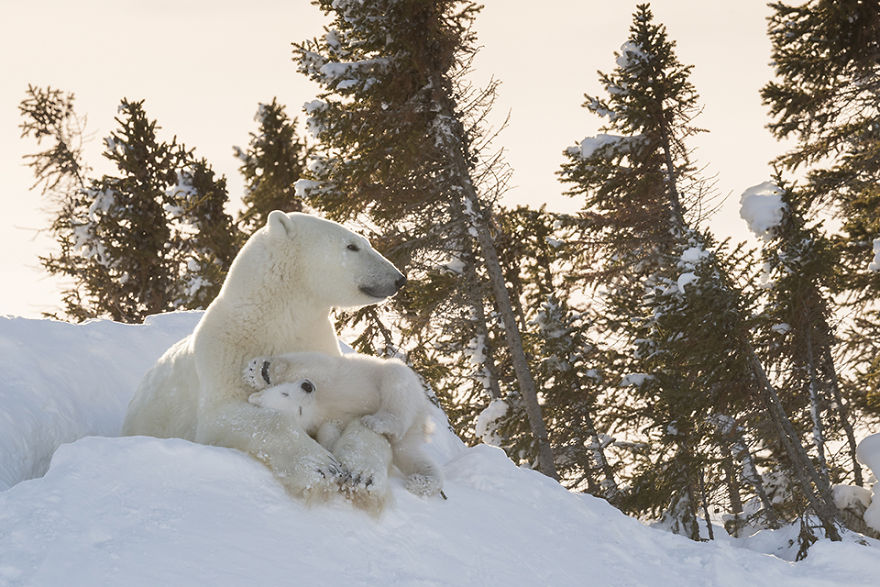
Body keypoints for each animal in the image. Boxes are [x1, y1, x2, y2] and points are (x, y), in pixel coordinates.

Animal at [122, 211, 406, 505]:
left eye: (364, 241)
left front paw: (362, 474)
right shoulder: (225, 353)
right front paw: (320, 466)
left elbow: (360, 415)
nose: (399, 278)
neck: (273, 319)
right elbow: (228, 415)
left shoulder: (322, 353)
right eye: (352, 246)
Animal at [243, 351, 444, 507]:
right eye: (298, 410)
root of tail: (421, 420)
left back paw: (376, 421)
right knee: (410, 455)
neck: (318, 404)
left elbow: (312, 363)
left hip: (401, 386)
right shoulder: (325, 420)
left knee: (396, 380)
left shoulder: (325, 376)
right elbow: (330, 432)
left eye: (284, 392)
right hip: (406, 438)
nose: (307, 386)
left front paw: (260, 371)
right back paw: (421, 480)